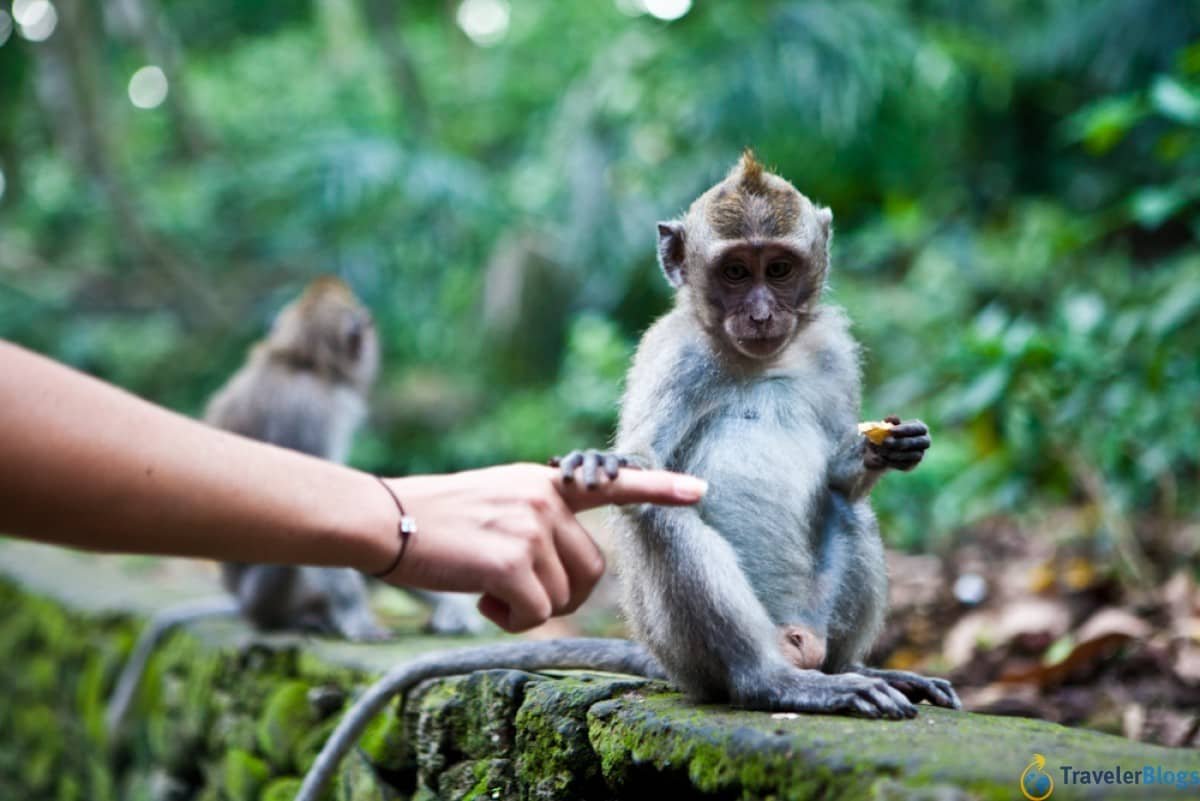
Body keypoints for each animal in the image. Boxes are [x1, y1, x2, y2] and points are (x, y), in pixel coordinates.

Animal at [290, 151, 955, 801]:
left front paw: (884, 449)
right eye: (736, 272)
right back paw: (772, 684)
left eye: (780, 268)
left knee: (850, 512)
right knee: (666, 518)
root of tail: (795, 647)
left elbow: (840, 478)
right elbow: (646, 469)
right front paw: (603, 465)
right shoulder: (673, 358)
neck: (759, 360)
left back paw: (856, 669)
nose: (763, 312)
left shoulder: (833, 351)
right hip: (684, 652)